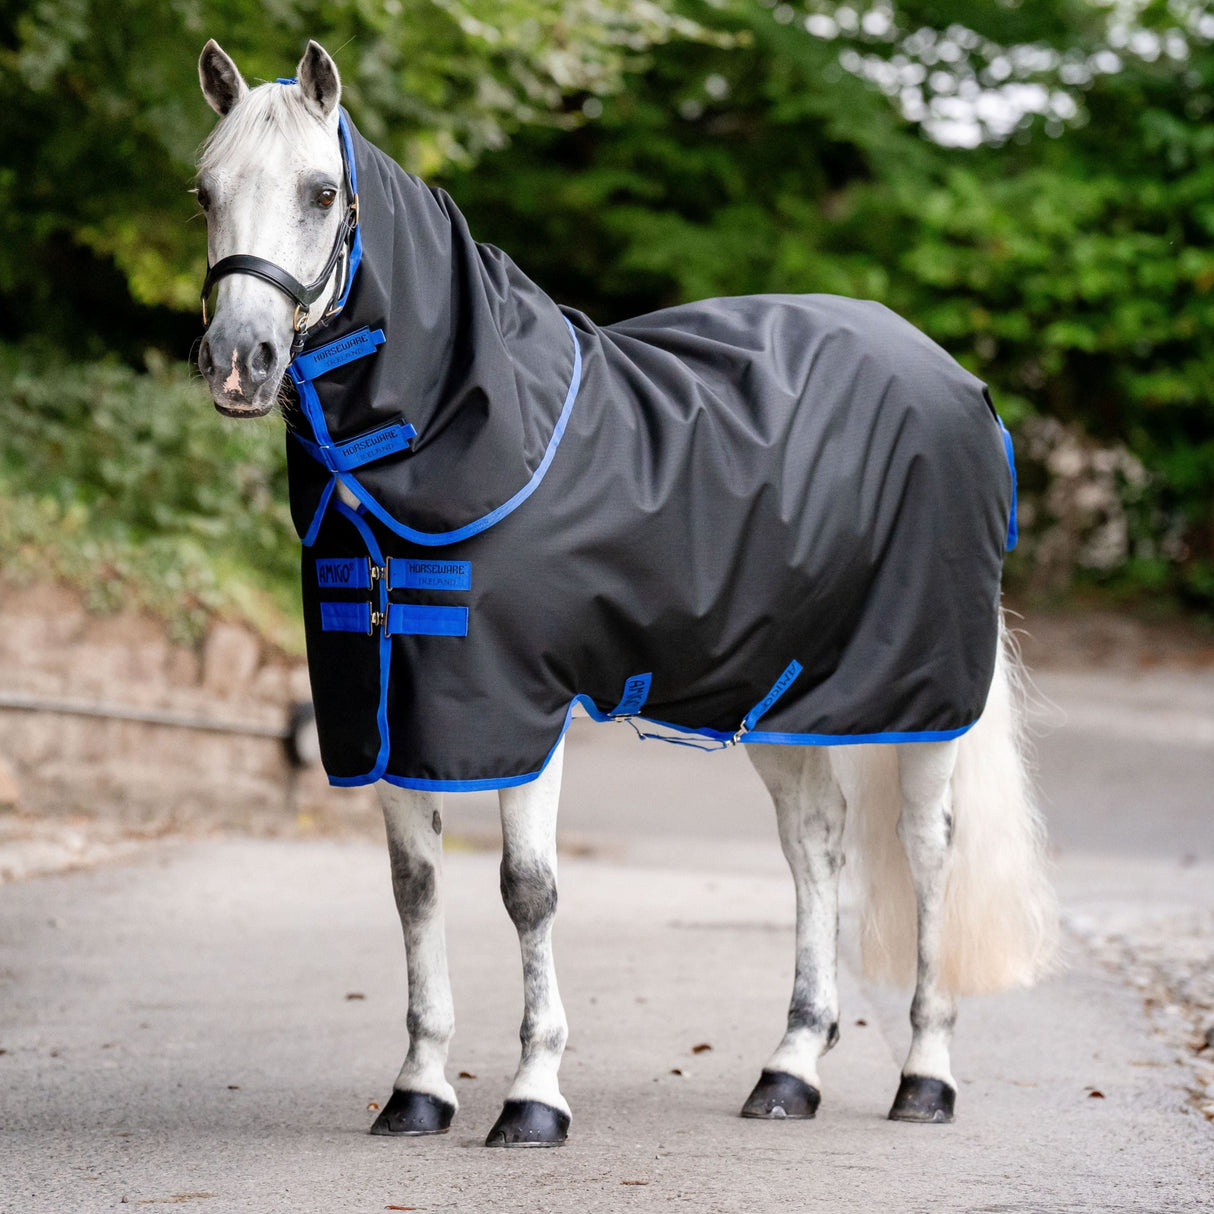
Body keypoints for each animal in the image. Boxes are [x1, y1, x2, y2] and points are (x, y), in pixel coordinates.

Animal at [193, 38, 1058, 1148]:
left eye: (319, 191)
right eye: (204, 190)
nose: (238, 362)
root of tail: (959, 382)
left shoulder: (521, 708)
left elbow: (527, 890)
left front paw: (533, 1096)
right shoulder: (387, 708)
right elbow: (414, 889)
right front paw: (419, 1088)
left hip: (924, 695)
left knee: (929, 852)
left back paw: (925, 1075)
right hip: (778, 693)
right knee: (814, 845)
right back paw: (789, 1069)